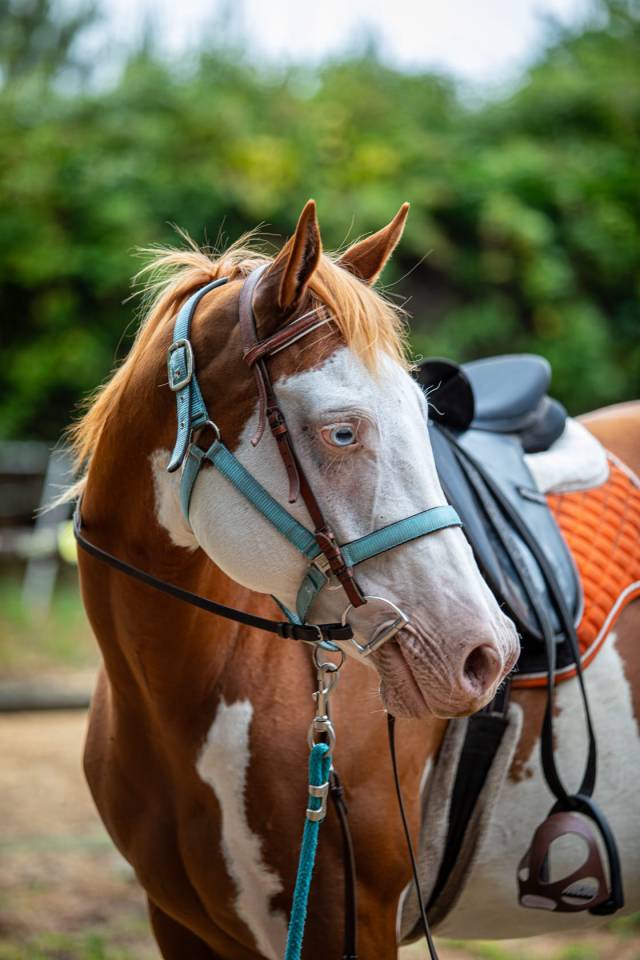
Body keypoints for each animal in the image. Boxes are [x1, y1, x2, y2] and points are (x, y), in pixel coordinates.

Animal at [68, 201, 639, 958]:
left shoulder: (353, 919)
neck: (176, 695)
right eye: (341, 432)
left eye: (425, 418)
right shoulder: (183, 926)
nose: (486, 655)